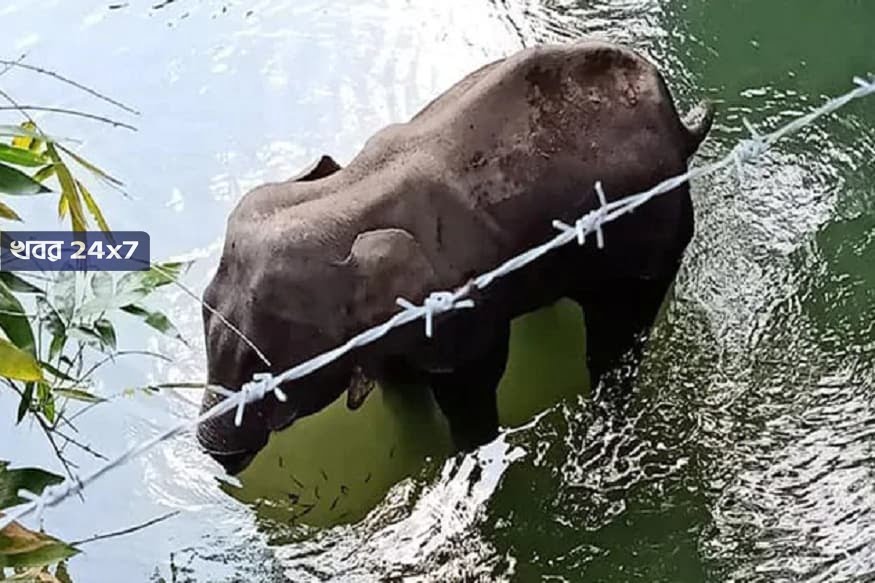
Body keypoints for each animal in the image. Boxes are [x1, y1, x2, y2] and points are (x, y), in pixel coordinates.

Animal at [197, 40, 714, 474]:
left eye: (267, 369)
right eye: (204, 309)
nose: (218, 457)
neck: (349, 193)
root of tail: (679, 125)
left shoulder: (460, 309)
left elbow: (473, 382)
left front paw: (465, 454)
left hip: (654, 230)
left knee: (617, 332)